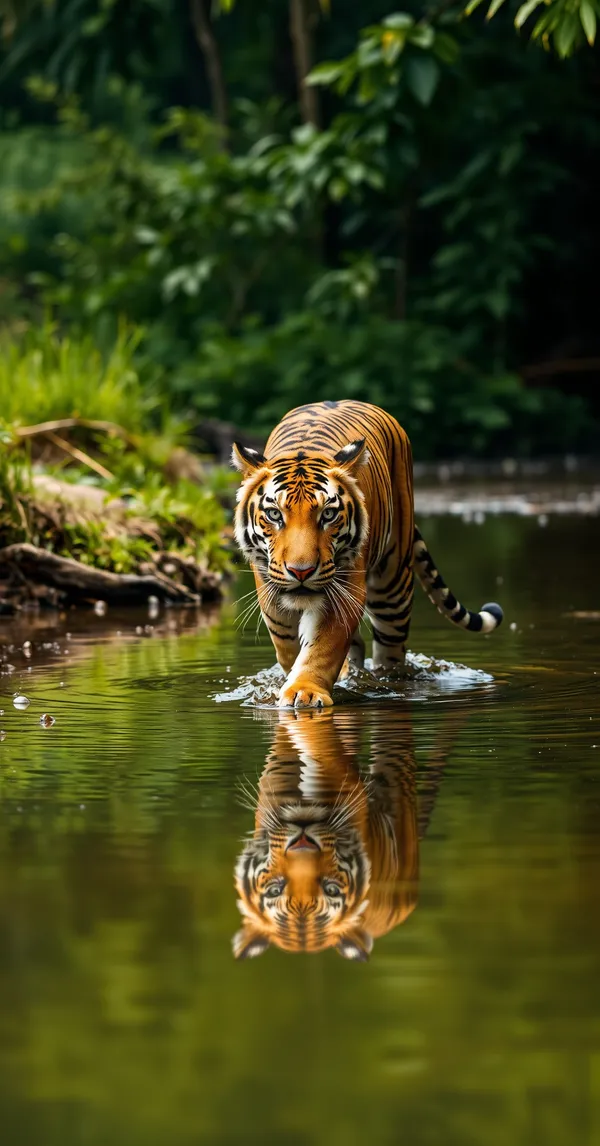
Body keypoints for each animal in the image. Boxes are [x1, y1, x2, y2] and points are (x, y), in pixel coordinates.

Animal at [233, 399, 502, 709]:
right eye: (275, 514)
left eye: (328, 515)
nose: (302, 571)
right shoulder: (272, 600)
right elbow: (289, 650)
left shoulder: (346, 591)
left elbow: (322, 648)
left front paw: (305, 691)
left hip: (392, 590)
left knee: (391, 659)